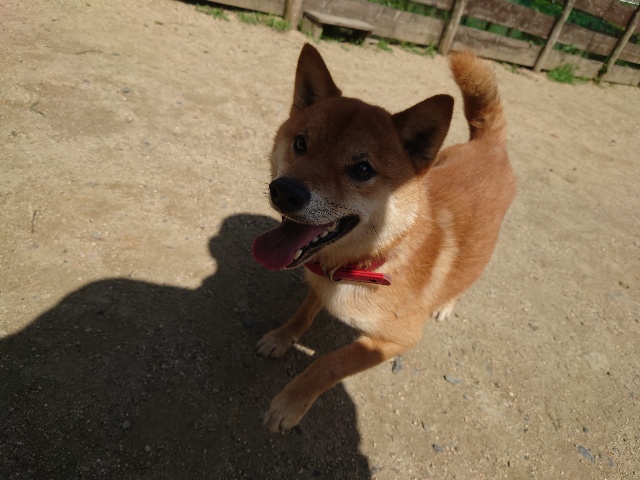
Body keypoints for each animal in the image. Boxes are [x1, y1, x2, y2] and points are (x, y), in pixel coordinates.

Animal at [252, 44, 516, 432]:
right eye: (300, 143)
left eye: (363, 169)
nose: (285, 192)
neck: (371, 260)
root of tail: (489, 145)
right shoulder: (320, 283)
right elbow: (304, 312)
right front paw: (282, 337)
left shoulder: (396, 340)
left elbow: (328, 364)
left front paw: (290, 403)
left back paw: (446, 303)